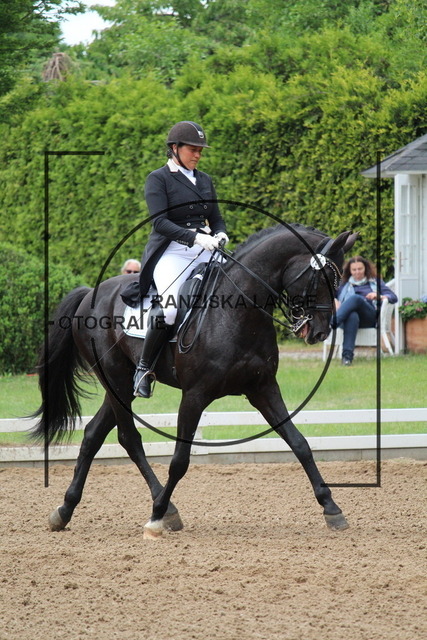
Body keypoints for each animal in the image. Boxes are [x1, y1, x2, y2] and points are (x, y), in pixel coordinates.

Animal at [32, 223, 357, 538]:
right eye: (321, 277)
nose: (319, 332)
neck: (239, 312)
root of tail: (90, 292)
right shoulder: (194, 396)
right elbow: (179, 460)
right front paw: (156, 517)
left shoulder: (263, 389)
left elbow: (299, 443)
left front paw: (332, 509)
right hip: (116, 379)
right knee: (128, 439)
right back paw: (164, 509)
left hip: (122, 386)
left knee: (93, 435)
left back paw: (64, 510)